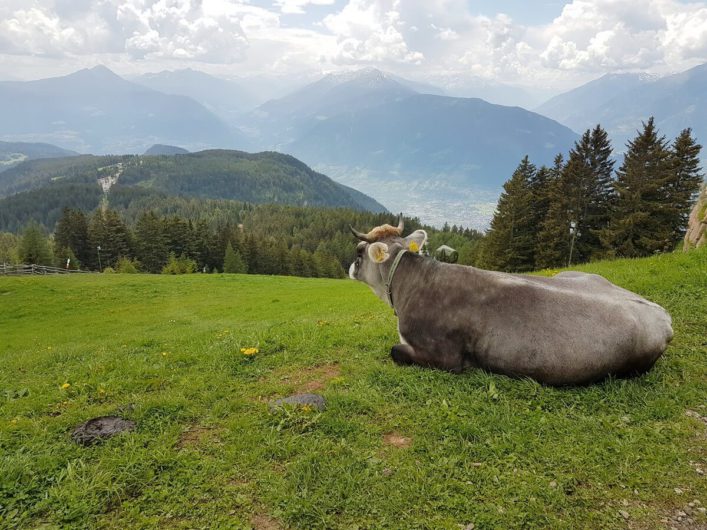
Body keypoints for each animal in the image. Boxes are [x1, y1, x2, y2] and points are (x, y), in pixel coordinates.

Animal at [348, 216, 676, 384]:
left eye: (359, 252)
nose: (350, 267)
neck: (411, 285)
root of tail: (662, 315)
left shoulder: (446, 357)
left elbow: (395, 350)